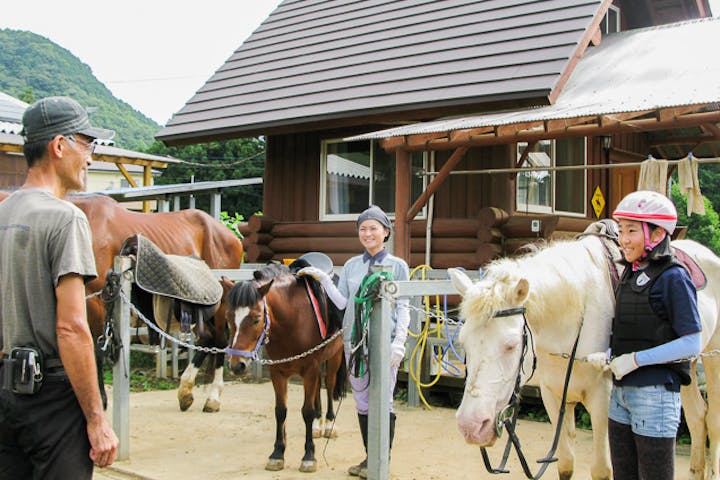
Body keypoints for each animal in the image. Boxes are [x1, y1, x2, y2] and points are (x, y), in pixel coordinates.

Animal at [224, 263, 346, 473]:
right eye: (229, 317)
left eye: (256, 318)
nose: (236, 364)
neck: (292, 318)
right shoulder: (278, 372)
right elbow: (280, 411)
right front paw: (277, 453)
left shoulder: (310, 368)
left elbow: (306, 411)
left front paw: (309, 456)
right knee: (317, 391)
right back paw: (317, 425)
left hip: (333, 357)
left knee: (329, 386)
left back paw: (329, 424)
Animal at [448, 236, 720, 480]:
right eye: (463, 342)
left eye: (511, 345)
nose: (470, 426)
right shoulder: (553, 396)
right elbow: (566, 465)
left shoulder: (602, 399)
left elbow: (601, 470)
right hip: (686, 366)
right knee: (697, 418)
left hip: (713, 361)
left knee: (713, 420)